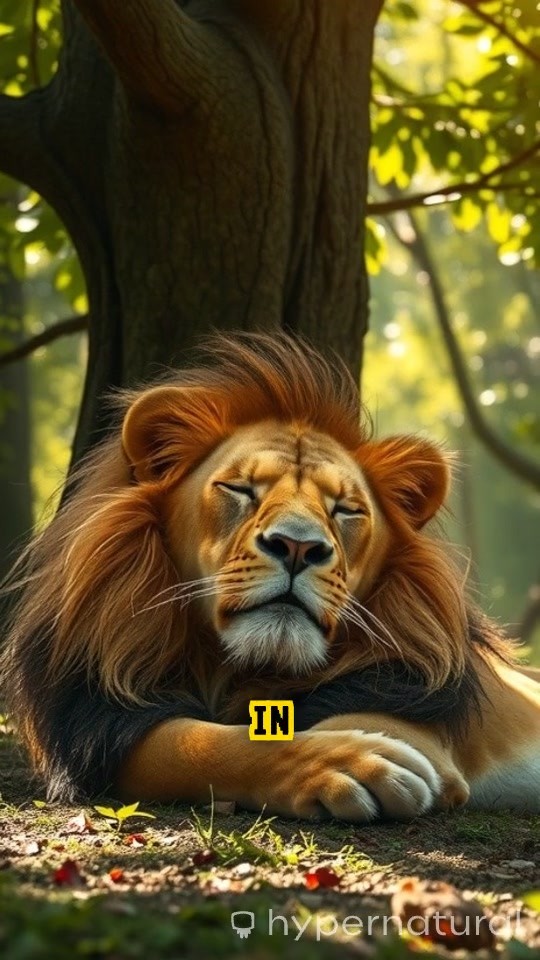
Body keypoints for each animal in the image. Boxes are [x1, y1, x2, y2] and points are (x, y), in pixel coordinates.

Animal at [3, 333, 539, 820]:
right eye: (240, 489)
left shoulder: (418, 723)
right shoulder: (104, 721)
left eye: (345, 509)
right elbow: (192, 743)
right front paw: (347, 762)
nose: (298, 546)